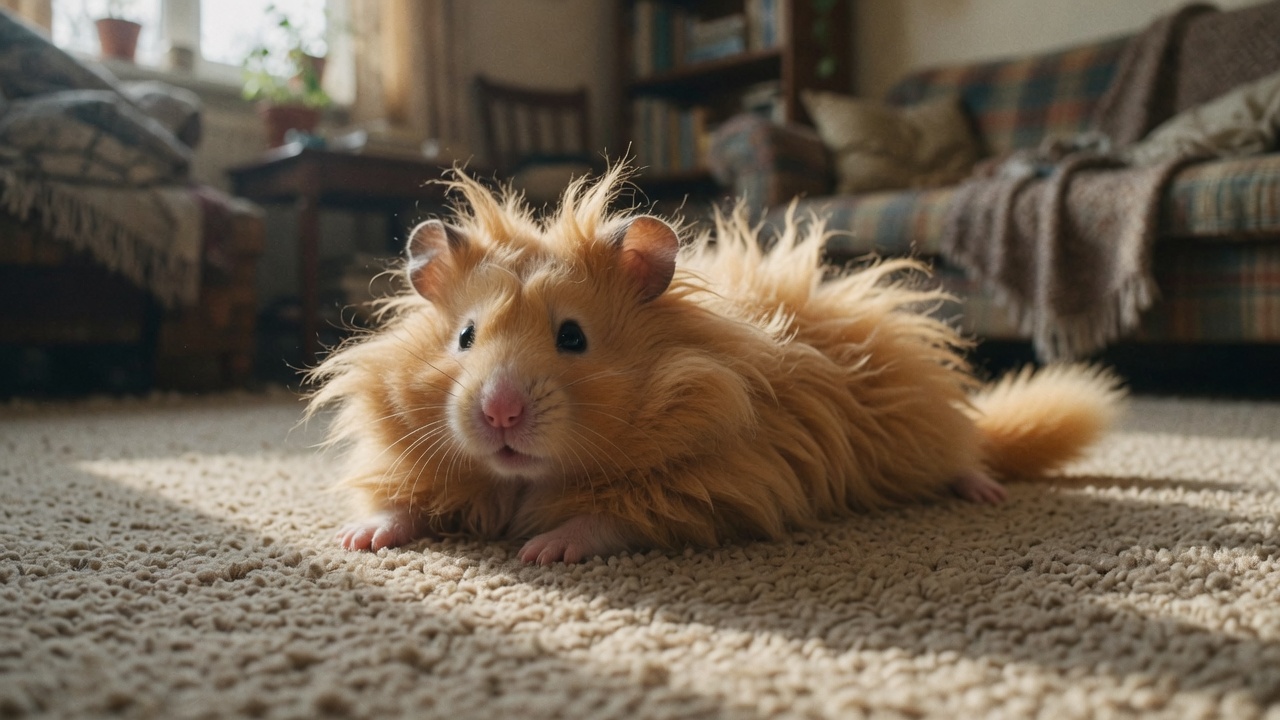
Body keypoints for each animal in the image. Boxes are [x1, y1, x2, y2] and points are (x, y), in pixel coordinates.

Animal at [306, 165, 1124, 565]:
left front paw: (542, 549)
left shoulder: (711, 487)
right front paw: (361, 540)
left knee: (964, 455)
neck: (522, 481)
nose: (499, 412)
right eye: (465, 337)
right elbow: (400, 502)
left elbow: (606, 519)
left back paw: (984, 491)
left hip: (915, 430)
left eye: (573, 338)